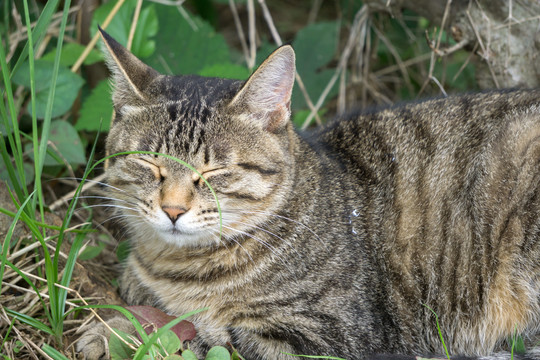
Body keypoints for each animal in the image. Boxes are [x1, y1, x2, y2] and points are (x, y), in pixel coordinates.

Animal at [77, 26, 540, 360]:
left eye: (215, 171)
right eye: (150, 164)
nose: (172, 209)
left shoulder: (325, 335)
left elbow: (201, 337)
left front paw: (114, 330)